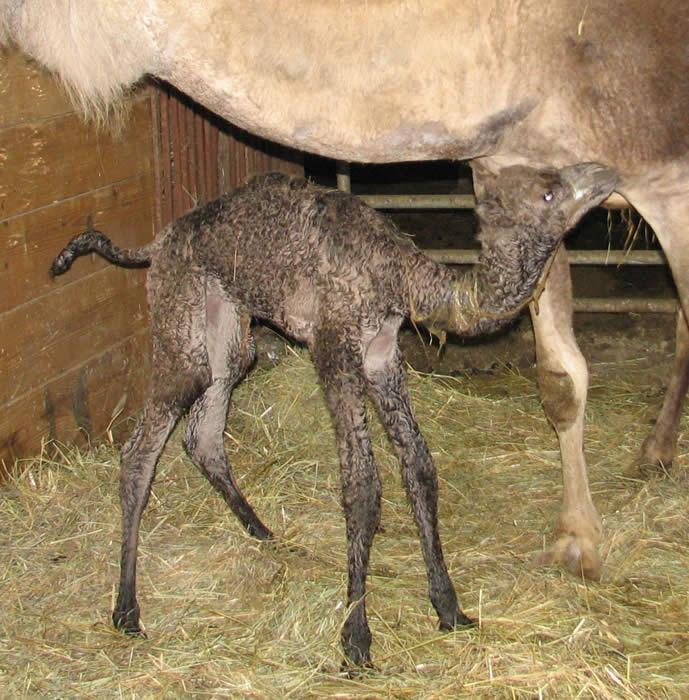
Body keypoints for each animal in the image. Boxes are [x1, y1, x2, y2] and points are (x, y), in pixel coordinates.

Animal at [51, 165, 616, 668]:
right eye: (548, 193)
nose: (604, 173)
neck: (397, 274)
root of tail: (157, 243)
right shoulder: (335, 347)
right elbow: (362, 486)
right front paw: (356, 640)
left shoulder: (382, 355)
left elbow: (419, 468)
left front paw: (450, 609)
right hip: (180, 322)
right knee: (140, 449)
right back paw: (127, 610)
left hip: (228, 331)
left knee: (203, 432)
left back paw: (262, 532)